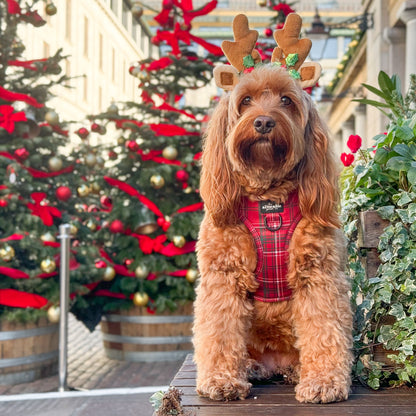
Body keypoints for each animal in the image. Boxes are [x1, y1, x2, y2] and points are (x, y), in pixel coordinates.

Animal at [193, 64, 352, 404]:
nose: (264, 122)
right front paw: (222, 380)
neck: (269, 200)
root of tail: (275, 363)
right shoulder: (223, 276)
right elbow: (220, 331)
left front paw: (323, 381)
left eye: (286, 100)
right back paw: (250, 367)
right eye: (246, 100)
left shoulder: (318, 275)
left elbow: (325, 329)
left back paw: (298, 371)